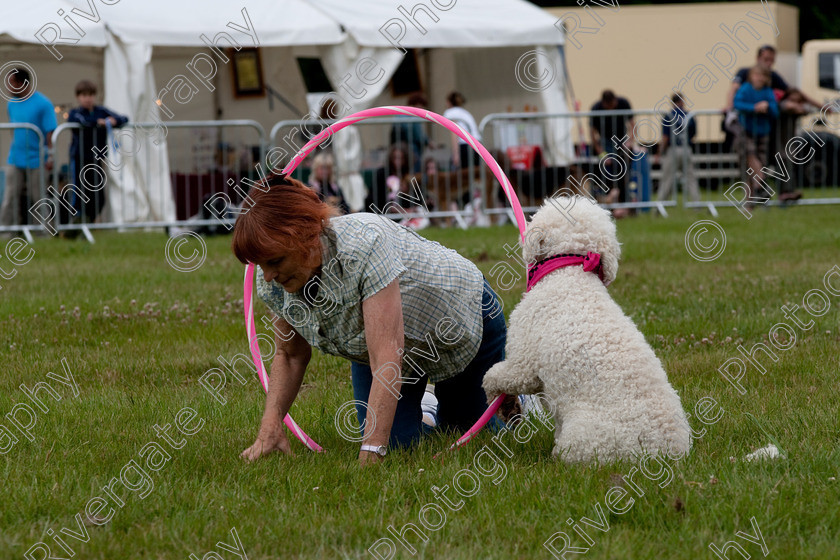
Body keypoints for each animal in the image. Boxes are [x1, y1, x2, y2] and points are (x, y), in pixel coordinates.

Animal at [482, 197, 692, 464]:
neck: (568, 271)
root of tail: (667, 453)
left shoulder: (524, 364)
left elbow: (493, 376)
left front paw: (506, 407)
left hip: (584, 438)